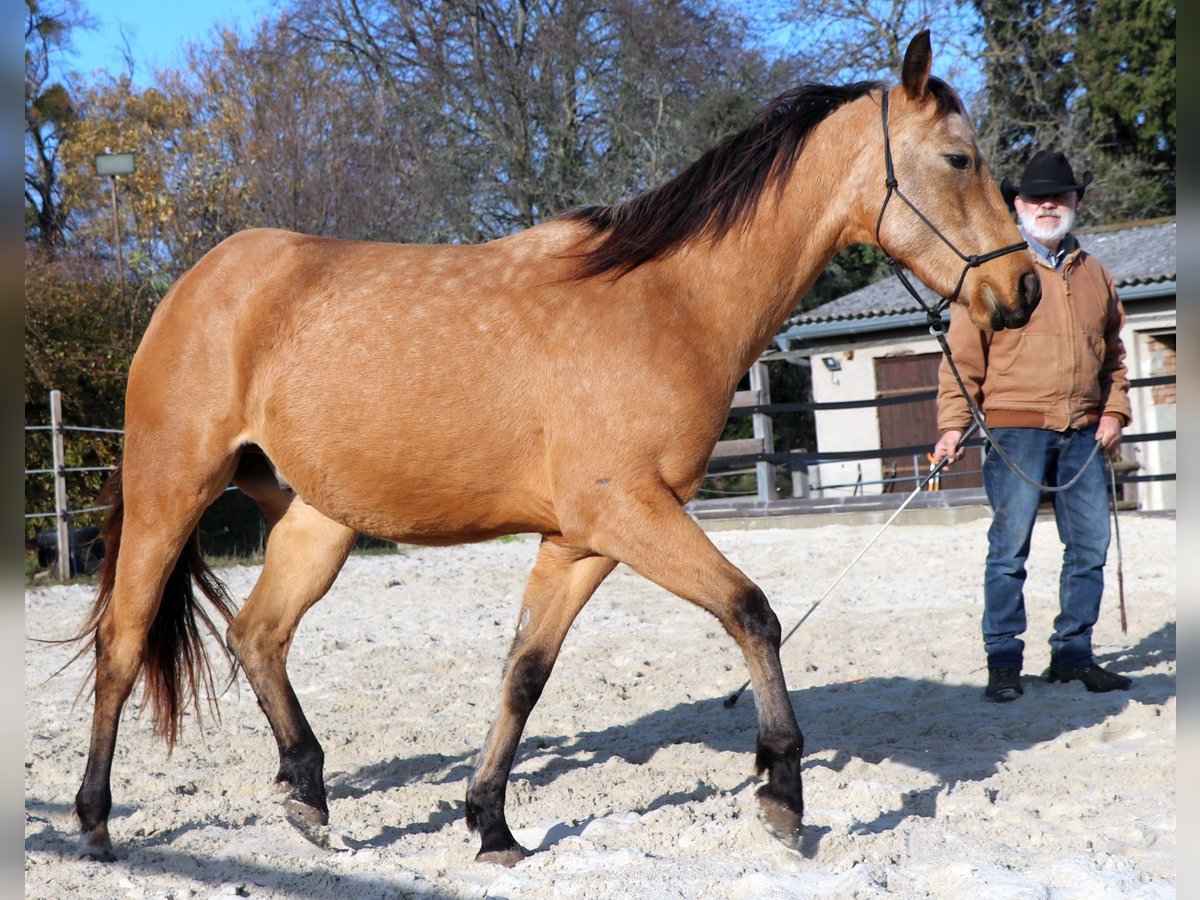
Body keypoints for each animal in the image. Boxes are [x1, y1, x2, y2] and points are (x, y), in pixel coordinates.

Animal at [69, 31, 1039, 866]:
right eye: (959, 159)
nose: (1023, 289)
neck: (671, 301)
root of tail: (197, 283)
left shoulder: (580, 542)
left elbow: (524, 673)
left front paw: (491, 823)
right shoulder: (629, 512)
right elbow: (752, 613)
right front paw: (781, 794)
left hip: (320, 520)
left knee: (259, 633)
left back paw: (308, 797)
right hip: (170, 491)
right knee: (123, 643)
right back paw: (95, 822)